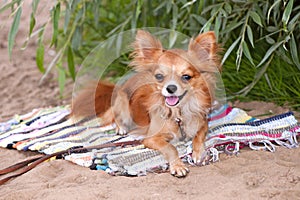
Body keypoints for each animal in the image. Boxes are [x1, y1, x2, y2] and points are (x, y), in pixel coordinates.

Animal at [70, 29, 220, 177]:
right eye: (159, 76)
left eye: (186, 77)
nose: (171, 88)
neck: (178, 114)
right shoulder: (151, 138)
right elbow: (170, 147)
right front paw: (178, 166)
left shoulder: (203, 123)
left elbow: (198, 137)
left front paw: (199, 153)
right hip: (123, 104)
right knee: (116, 116)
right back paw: (121, 128)